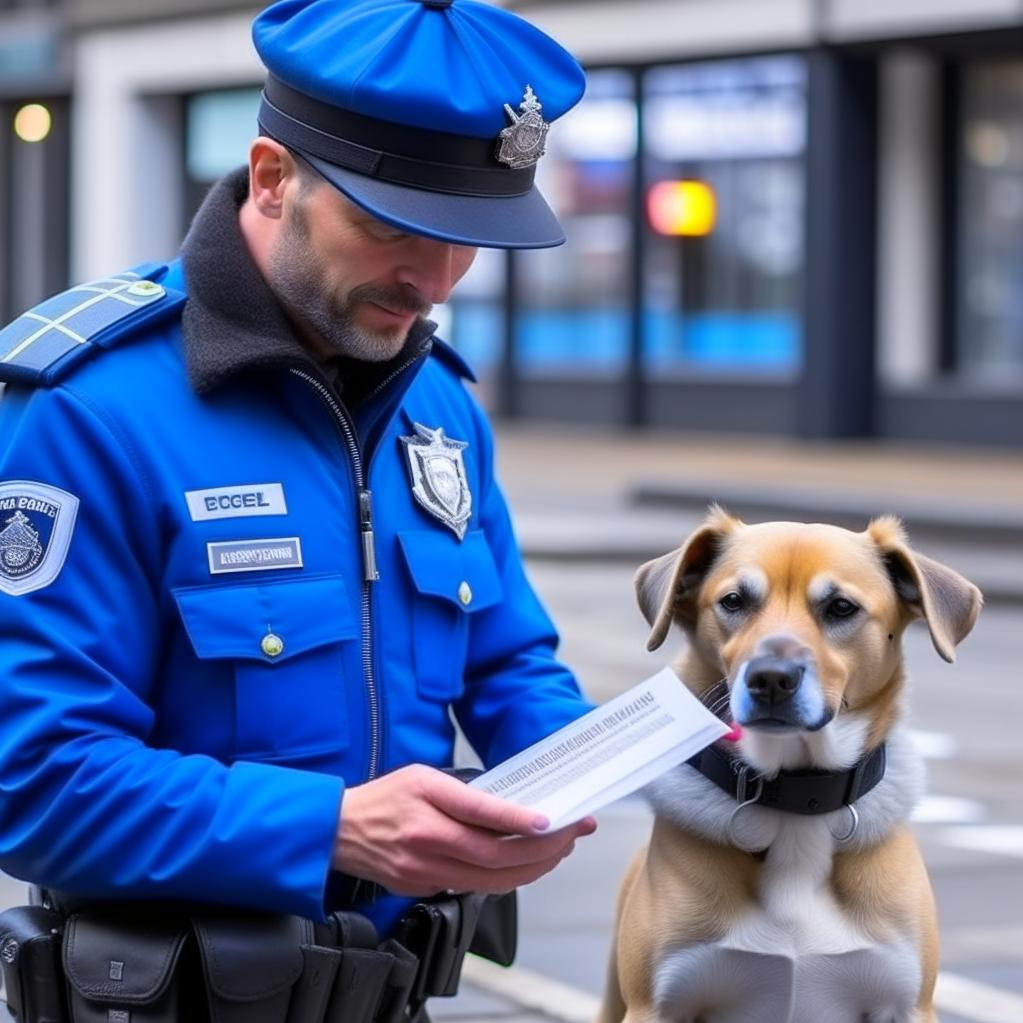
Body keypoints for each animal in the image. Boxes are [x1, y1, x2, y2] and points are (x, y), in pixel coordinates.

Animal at [597, 509, 982, 1023]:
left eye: (840, 607)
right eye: (734, 601)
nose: (770, 679)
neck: (798, 803)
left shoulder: (906, 1005)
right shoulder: (657, 1006)